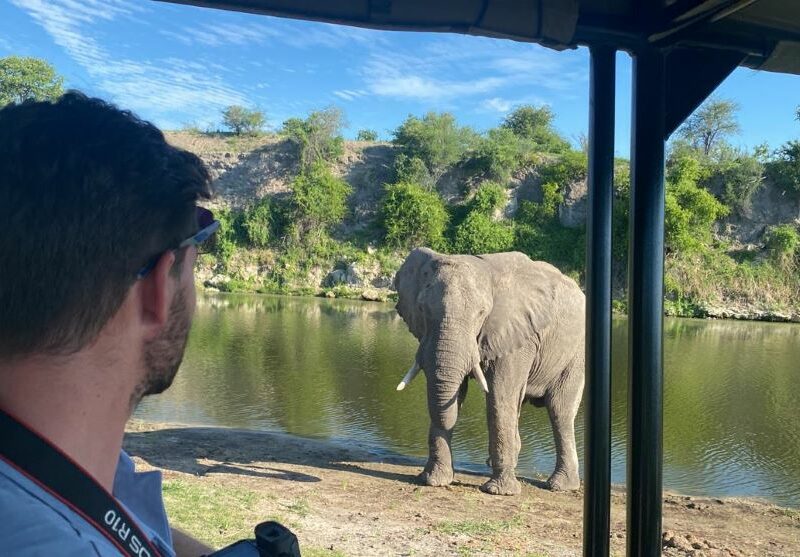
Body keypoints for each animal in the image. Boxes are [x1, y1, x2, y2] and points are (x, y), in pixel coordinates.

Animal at [393, 247, 585, 496]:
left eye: (482, 313)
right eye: (421, 309)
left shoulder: (517, 333)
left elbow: (499, 397)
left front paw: (499, 492)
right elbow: (453, 392)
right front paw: (434, 481)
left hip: (576, 351)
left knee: (559, 409)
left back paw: (560, 486)